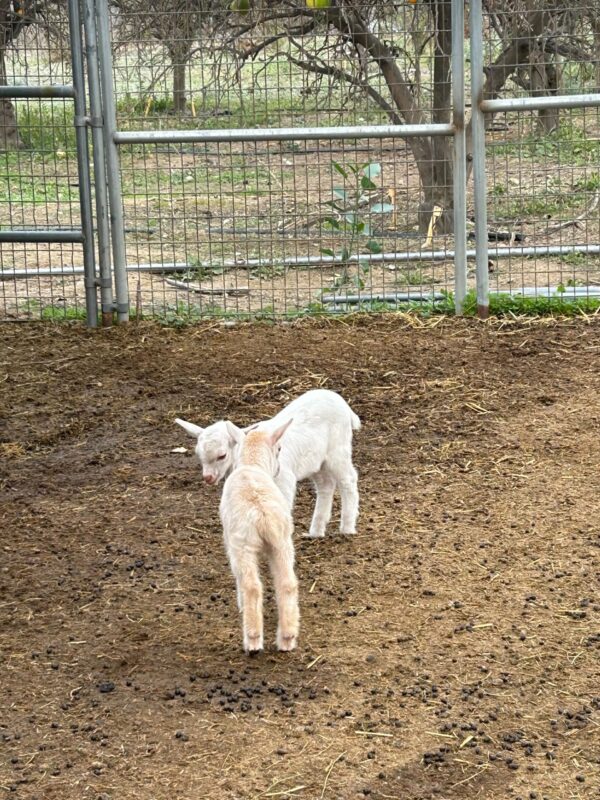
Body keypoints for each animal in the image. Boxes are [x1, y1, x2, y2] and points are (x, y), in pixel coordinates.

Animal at [175, 390, 360, 536]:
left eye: (222, 455)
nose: (208, 478)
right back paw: (316, 532)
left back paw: (347, 528)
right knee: (326, 485)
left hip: (338, 449)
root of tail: (341, 401)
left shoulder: (284, 478)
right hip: (316, 461)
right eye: (198, 455)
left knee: (348, 479)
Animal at [218, 418, 298, 648]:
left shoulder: (229, 538)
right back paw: (287, 638)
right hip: (282, 541)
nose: (278, 469)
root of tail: (263, 515)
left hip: (242, 544)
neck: (251, 464)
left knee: (252, 586)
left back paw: (252, 640)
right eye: (279, 449)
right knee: (288, 583)